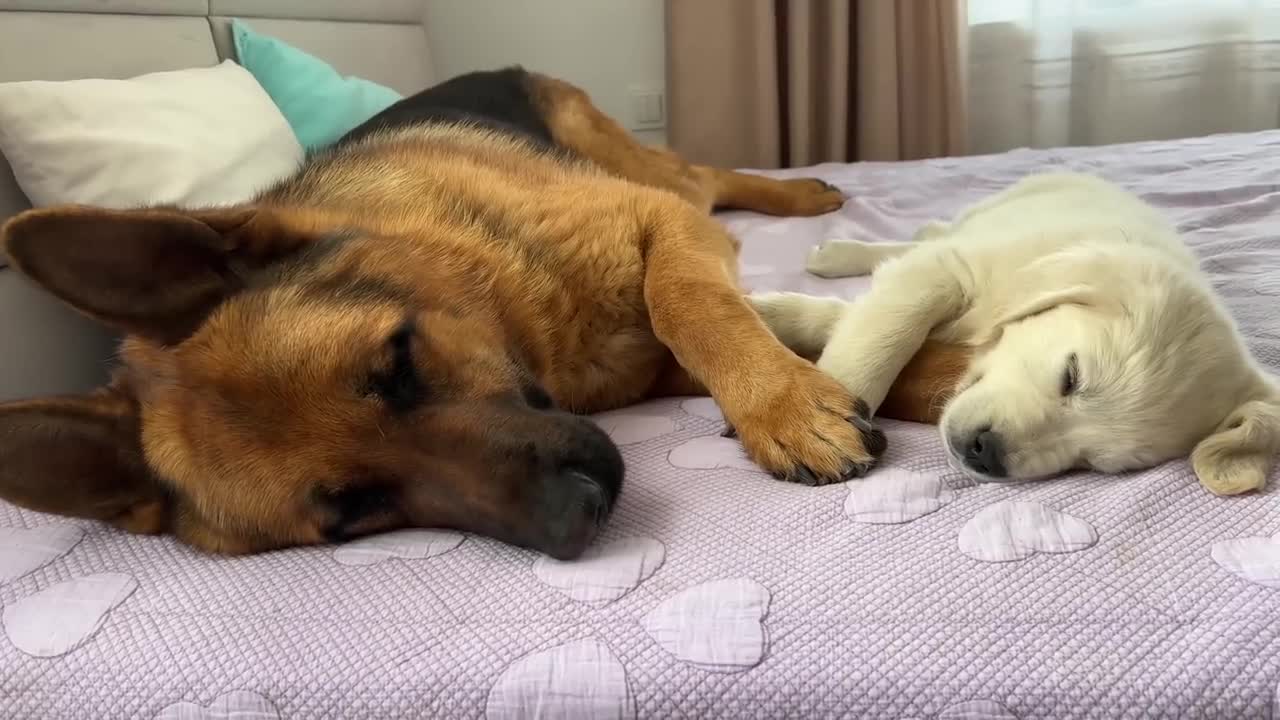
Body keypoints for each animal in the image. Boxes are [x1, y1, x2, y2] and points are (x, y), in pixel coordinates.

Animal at [0, 67, 962, 558]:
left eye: (397, 361)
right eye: (353, 511)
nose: (576, 519)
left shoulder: (660, 230)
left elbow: (693, 303)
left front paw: (784, 405)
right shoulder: (650, 356)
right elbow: (884, 361)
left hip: (650, 175)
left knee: (706, 176)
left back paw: (803, 192)